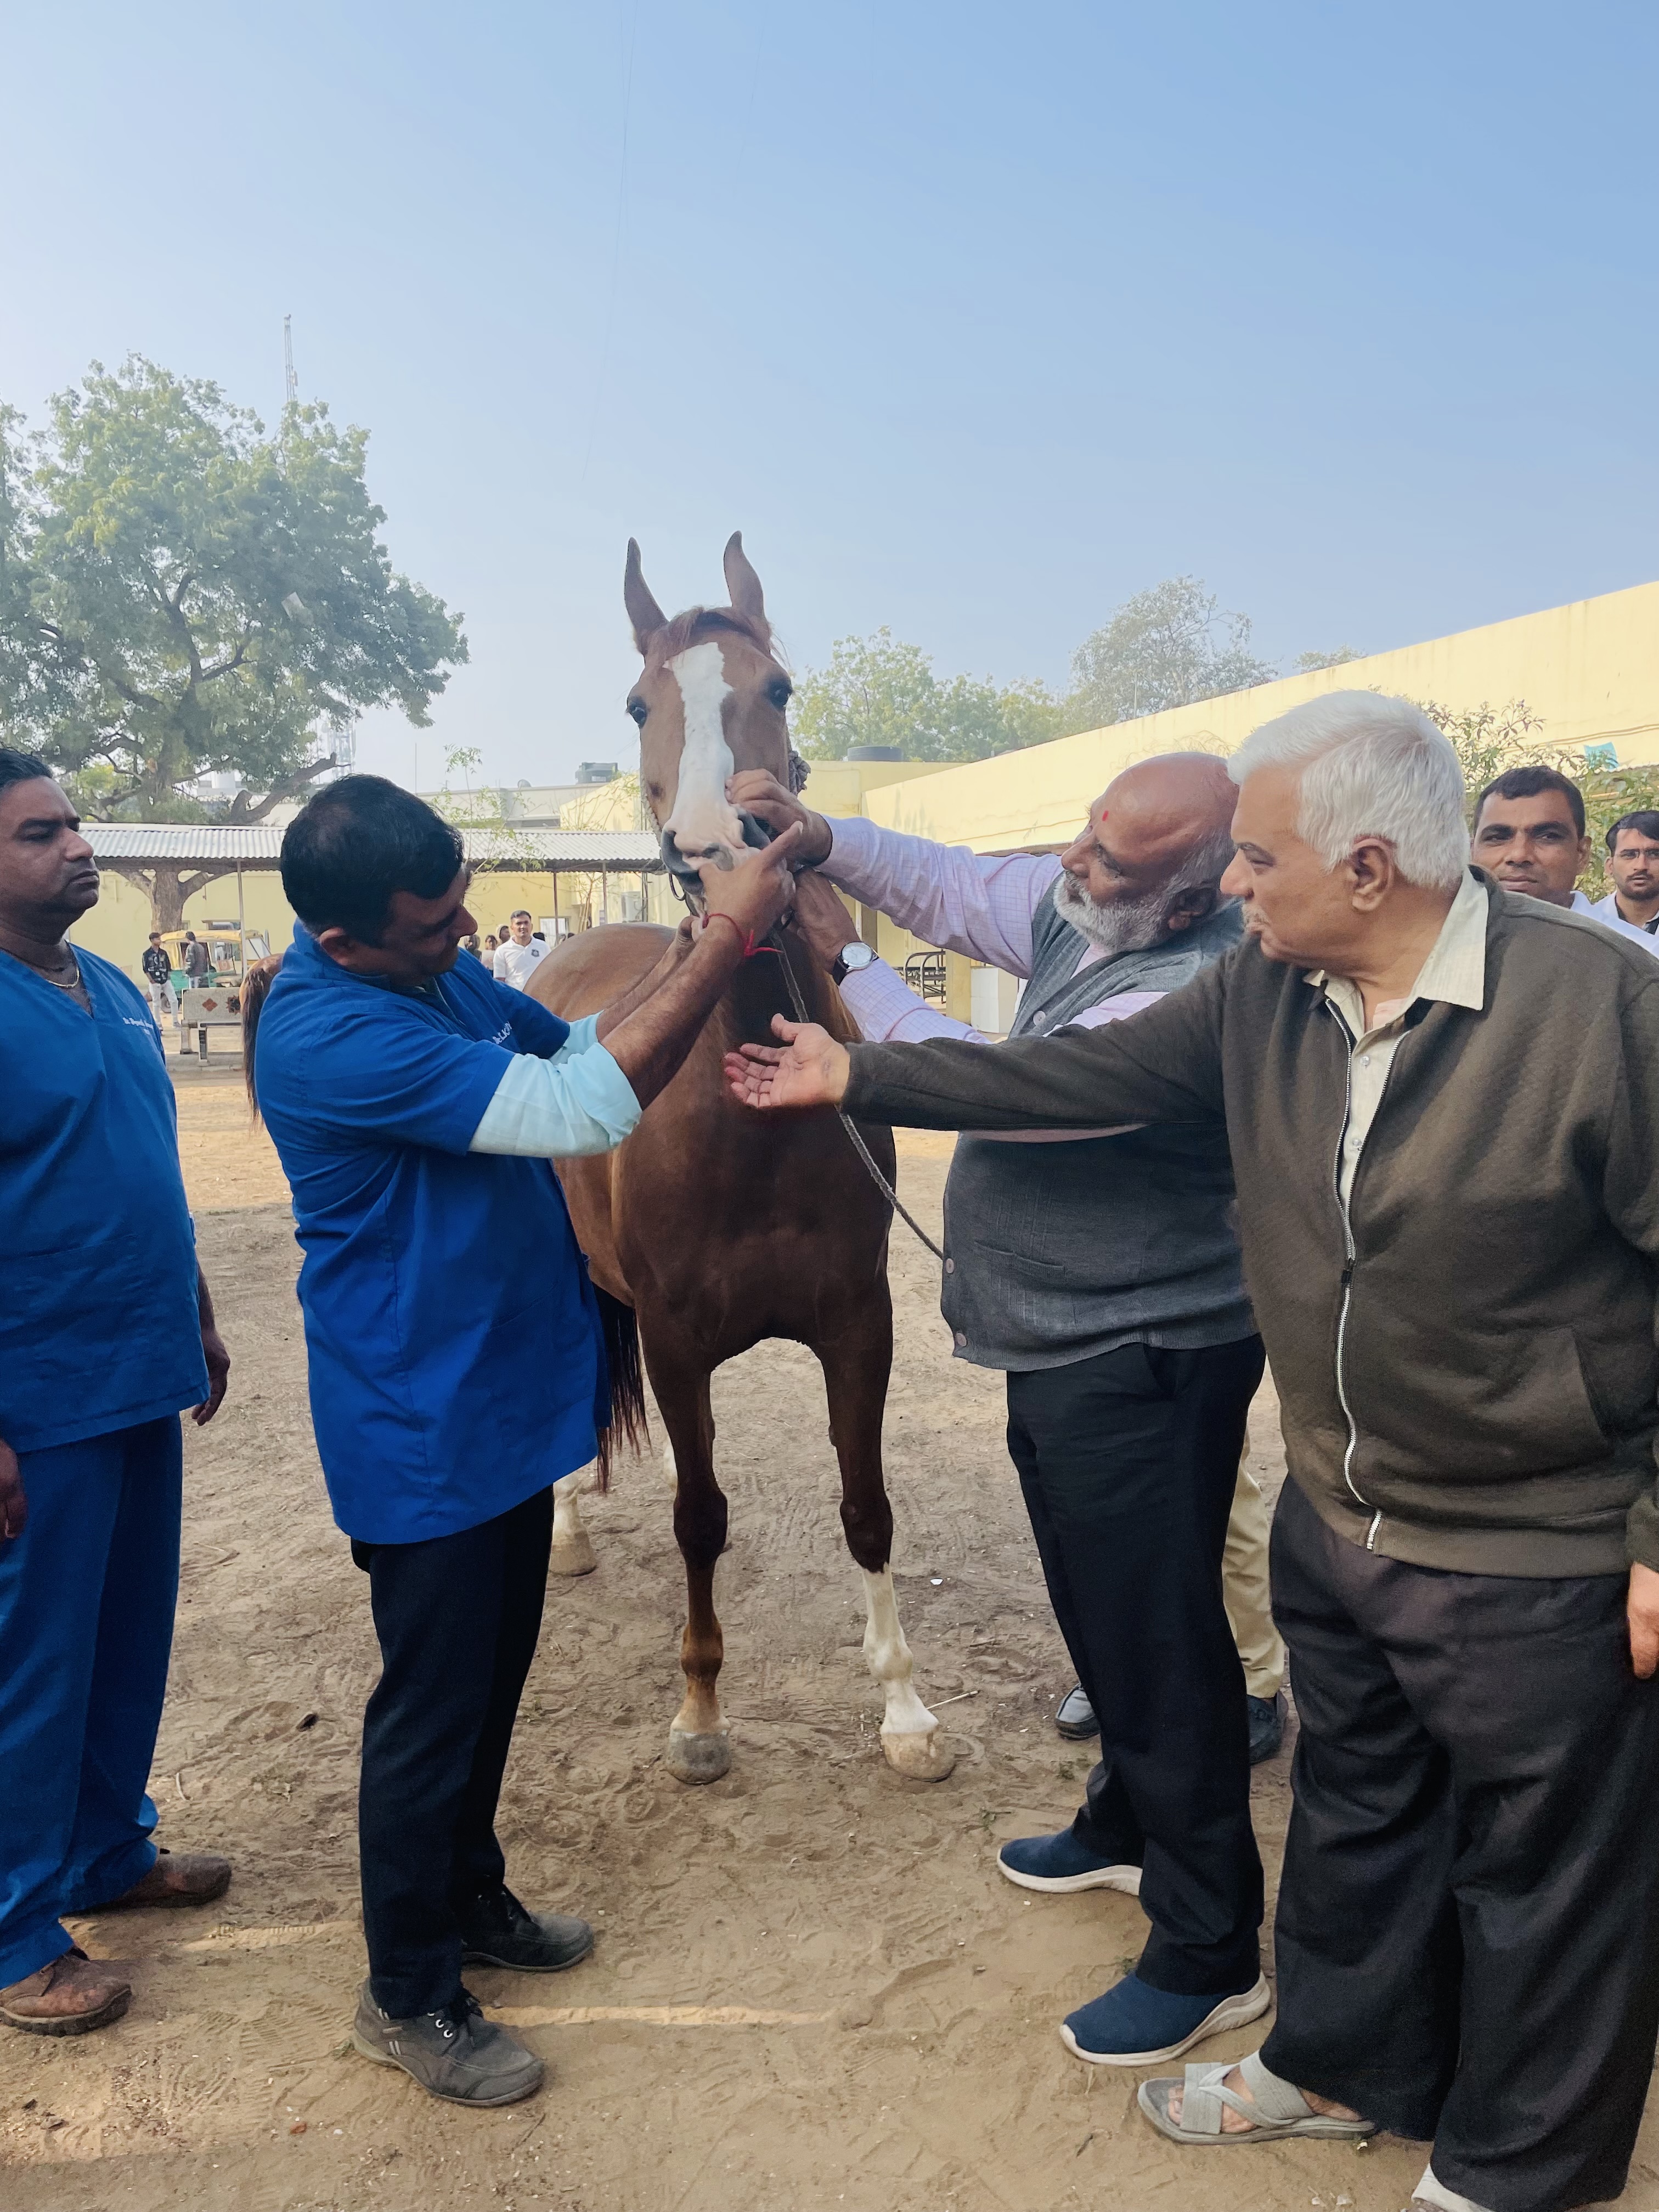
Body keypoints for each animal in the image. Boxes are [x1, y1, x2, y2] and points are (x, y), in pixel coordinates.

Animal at [529, 533, 954, 1788]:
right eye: (639, 703)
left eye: (779, 688)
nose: (718, 851)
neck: (753, 1122)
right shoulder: (673, 1335)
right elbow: (701, 1522)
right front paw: (700, 1711)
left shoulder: (859, 1323)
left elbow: (866, 1508)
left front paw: (904, 1709)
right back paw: (565, 1531)